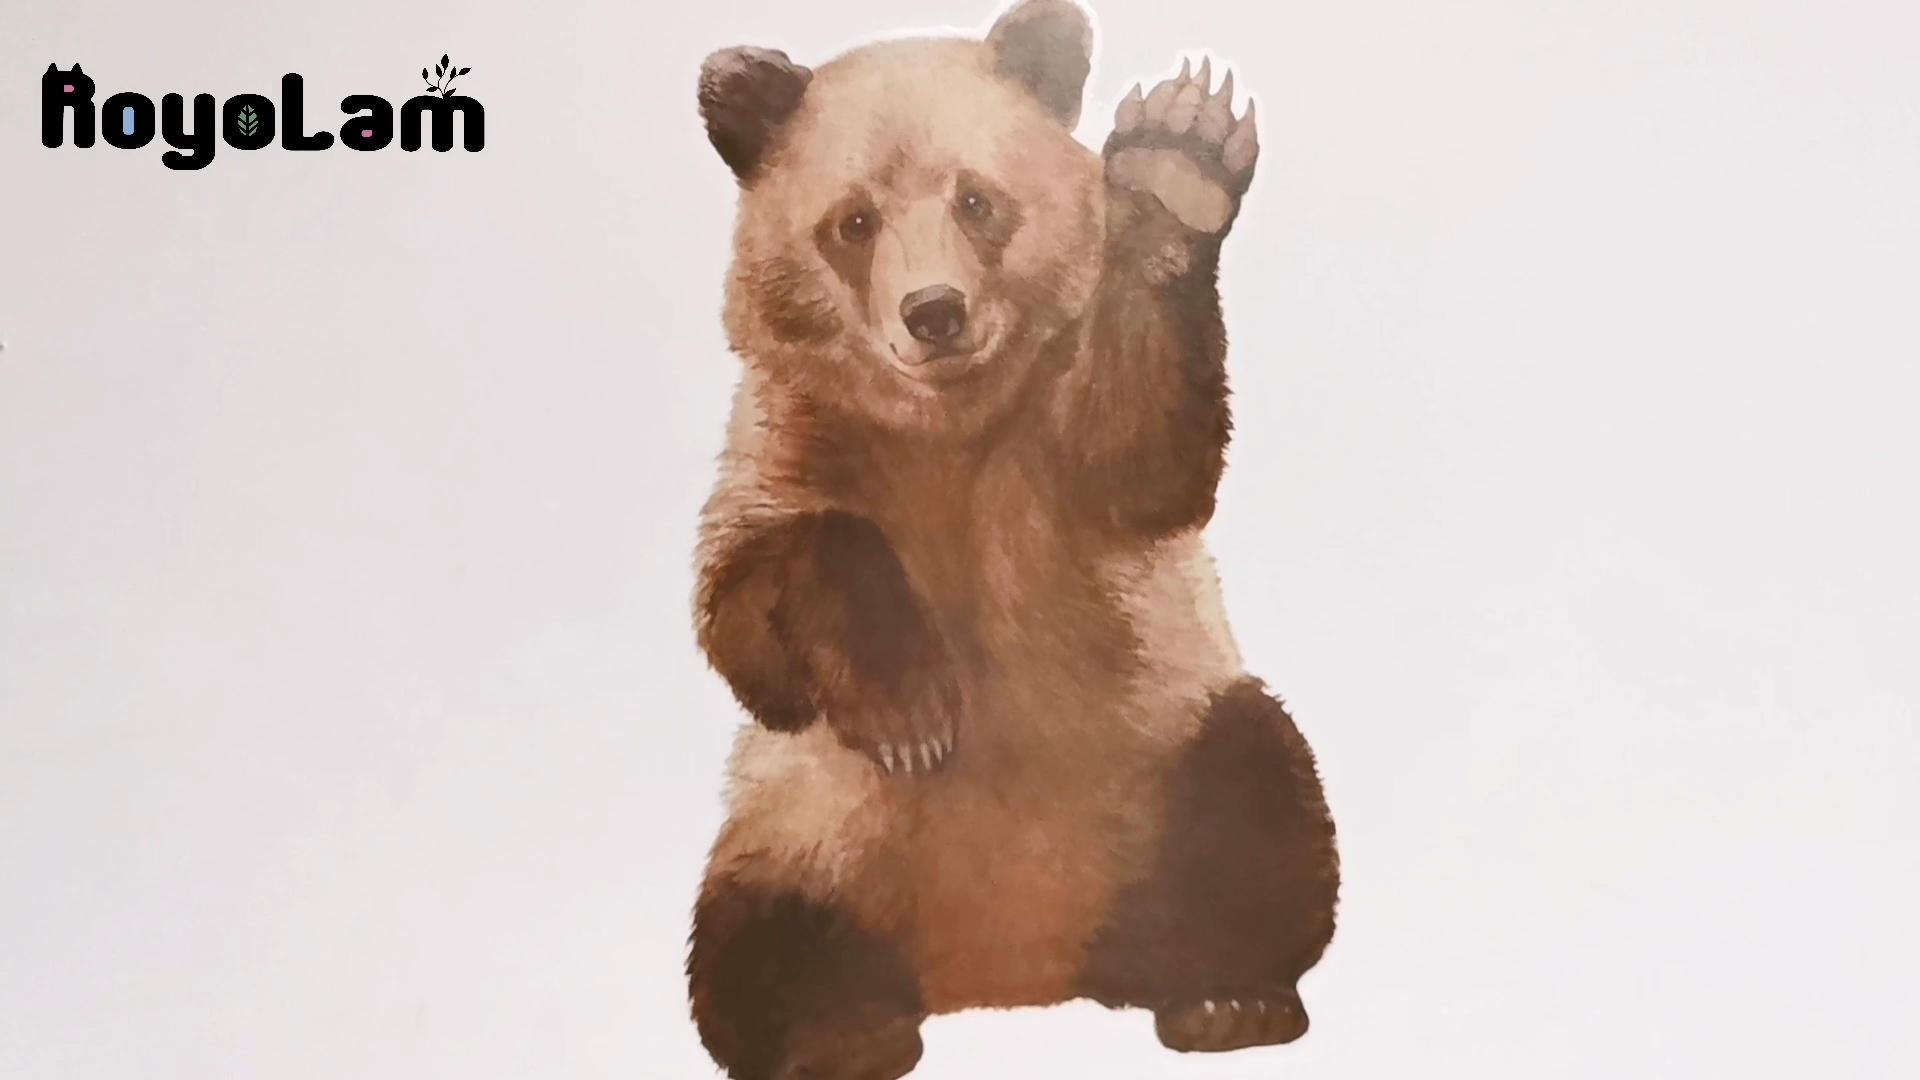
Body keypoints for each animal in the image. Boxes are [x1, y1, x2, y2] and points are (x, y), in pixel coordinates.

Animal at [684, 3, 1340, 1078]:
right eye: (853, 221)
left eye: (977, 200)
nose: (934, 313)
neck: (946, 425)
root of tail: (1009, 975)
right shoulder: (794, 434)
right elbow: (750, 617)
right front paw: (912, 713)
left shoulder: (1050, 455)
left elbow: (1137, 456)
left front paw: (1176, 160)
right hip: (807, 840)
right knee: (755, 939)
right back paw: (841, 1034)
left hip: (1160, 756)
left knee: (1260, 806)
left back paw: (1225, 995)